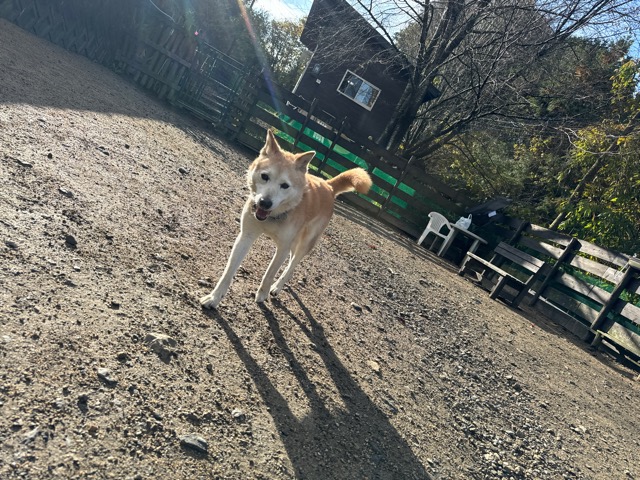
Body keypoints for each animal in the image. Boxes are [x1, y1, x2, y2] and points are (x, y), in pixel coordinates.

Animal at [200, 129, 372, 309]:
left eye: (285, 185)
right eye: (264, 176)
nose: (264, 202)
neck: (272, 217)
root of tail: (328, 185)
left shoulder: (282, 247)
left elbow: (269, 274)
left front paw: (262, 295)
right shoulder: (246, 236)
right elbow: (228, 272)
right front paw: (214, 298)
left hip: (306, 243)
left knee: (292, 265)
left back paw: (277, 286)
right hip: (295, 242)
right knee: (291, 261)